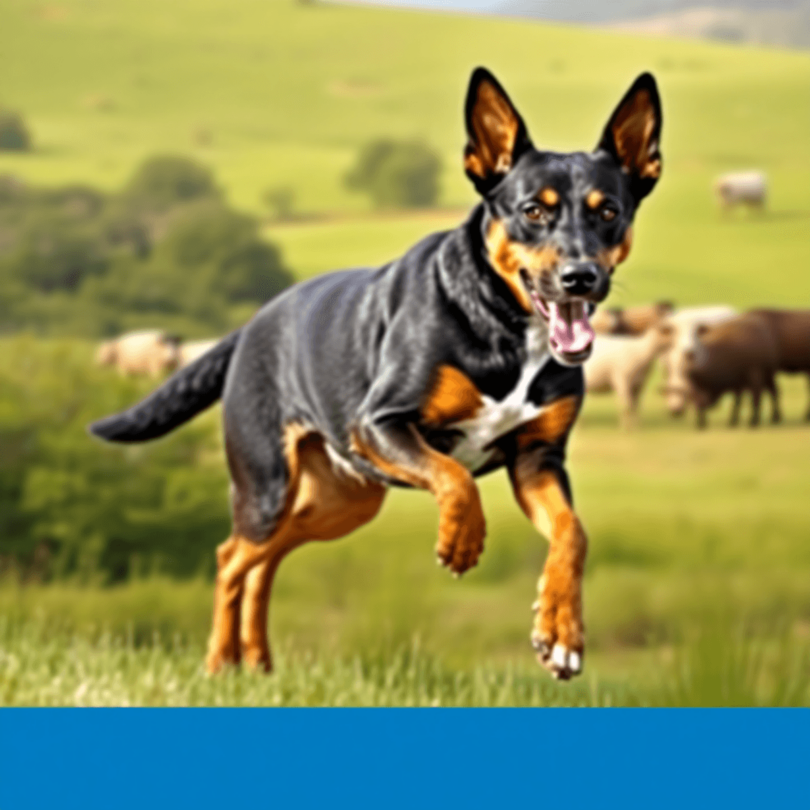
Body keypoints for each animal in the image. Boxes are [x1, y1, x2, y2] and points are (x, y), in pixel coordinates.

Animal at [91, 68, 664, 676]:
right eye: (533, 211)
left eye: (609, 211)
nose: (582, 277)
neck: (505, 326)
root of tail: (250, 326)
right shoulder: (380, 422)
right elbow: (455, 477)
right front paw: (462, 541)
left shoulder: (538, 458)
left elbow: (572, 533)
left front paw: (561, 634)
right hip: (268, 484)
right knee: (231, 558)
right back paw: (222, 660)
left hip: (342, 501)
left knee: (265, 561)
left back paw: (260, 661)